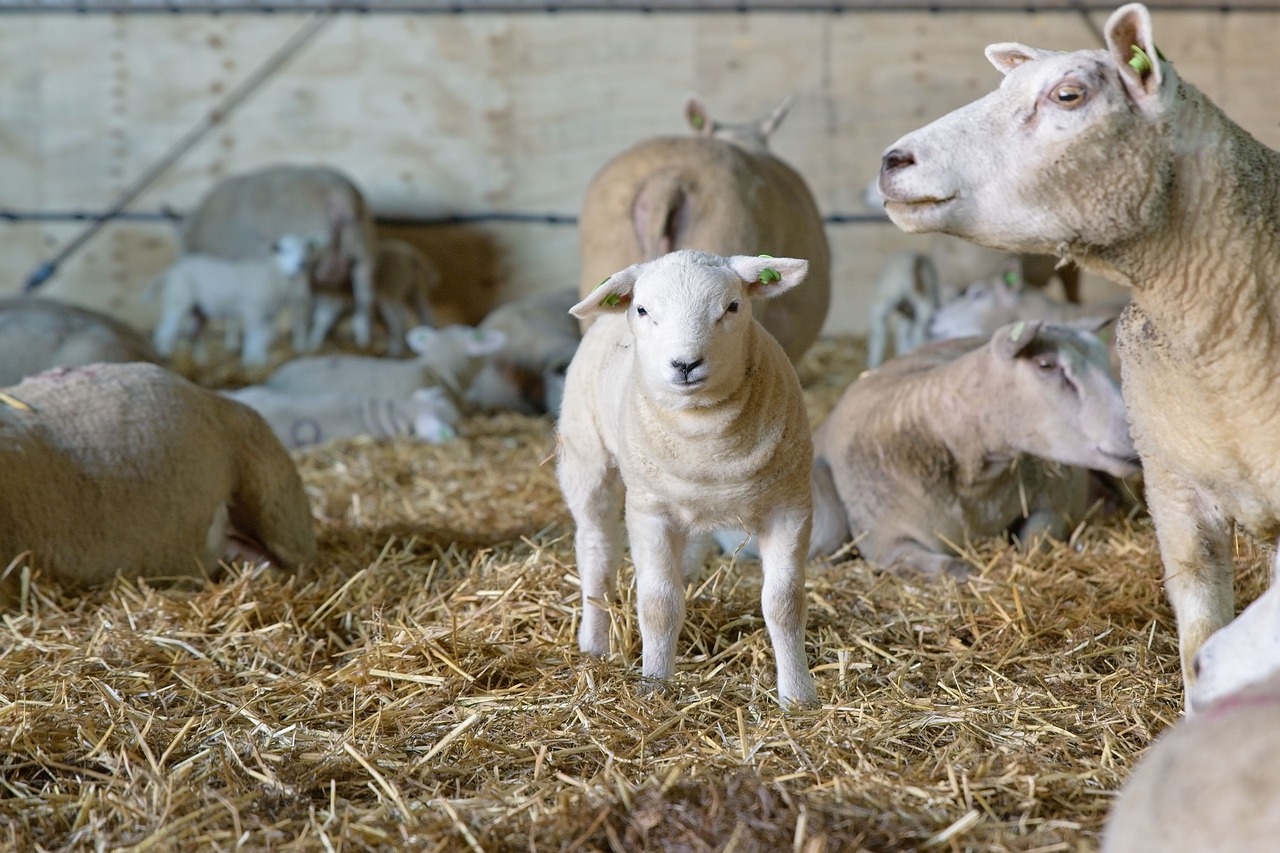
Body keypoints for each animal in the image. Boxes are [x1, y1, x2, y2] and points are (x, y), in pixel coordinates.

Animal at [181, 162, 378, 348]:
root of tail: (340, 196)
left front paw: (235, 341)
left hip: (309, 263)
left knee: (304, 302)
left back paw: (302, 343)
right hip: (362, 250)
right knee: (364, 297)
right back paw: (360, 339)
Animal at [555, 245, 814, 701]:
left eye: (732, 307)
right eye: (643, 309)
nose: (685, 364)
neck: (707, 440)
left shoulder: (791, 505)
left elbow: (785, 604)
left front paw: (798, 696)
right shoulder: (649, 511)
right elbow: (658, 605)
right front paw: (655, 687)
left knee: (686, 559)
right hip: (586, 458)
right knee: (596, 548)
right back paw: (595, 642)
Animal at [808, 324, 1141, 578]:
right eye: (1046, 365)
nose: (1135, 432)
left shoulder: (1053, 505)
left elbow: (1032, 544)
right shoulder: (885, 542)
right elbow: (953, 568)